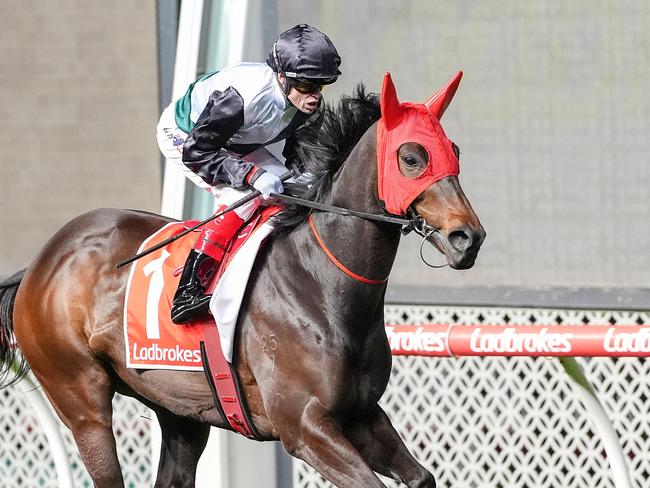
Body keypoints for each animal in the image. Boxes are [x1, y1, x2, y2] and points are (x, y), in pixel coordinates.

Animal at [0, 73, 480, 488]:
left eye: (454, 150)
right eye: (412, 157)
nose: (468, 238)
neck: (321, 286)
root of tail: (41, 263)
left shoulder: (361, 415)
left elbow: (422, 476)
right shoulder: (304, 426)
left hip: (180, 411)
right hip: (81, 400)